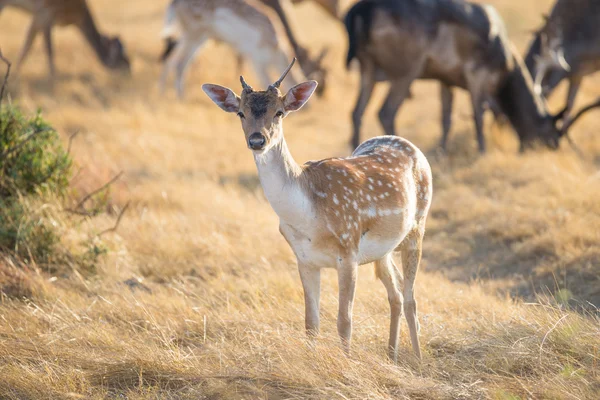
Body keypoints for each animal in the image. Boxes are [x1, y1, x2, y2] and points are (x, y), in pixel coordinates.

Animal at [0, 0, 131, 77]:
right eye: (119, 56)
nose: (129, 68)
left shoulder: (37, 19)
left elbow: (26, 47)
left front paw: (14, 75)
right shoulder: (46, 16)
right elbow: (49, 51)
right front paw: (52, 79)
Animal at [159, 0, 304, 98]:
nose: (306, 108)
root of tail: (175, 3)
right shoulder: (256, 60)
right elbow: (266, 81)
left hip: (192, 34)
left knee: (171, 57)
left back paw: (162, 91)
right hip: (195, 33)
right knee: (180, 63)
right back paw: (181, 97)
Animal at [202, 58, 432, 360]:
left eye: (279, 113)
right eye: (240, 113)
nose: (257, 140)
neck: (308, 217)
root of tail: (408, 144)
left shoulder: (348, 249)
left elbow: (344, 321)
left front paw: (346, 364)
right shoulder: (304, 258)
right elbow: (311, 322)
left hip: (418, 227)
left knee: (410, 297)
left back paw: (417, 360)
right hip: (383, 249)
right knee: (394, 294)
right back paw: (391, 355)